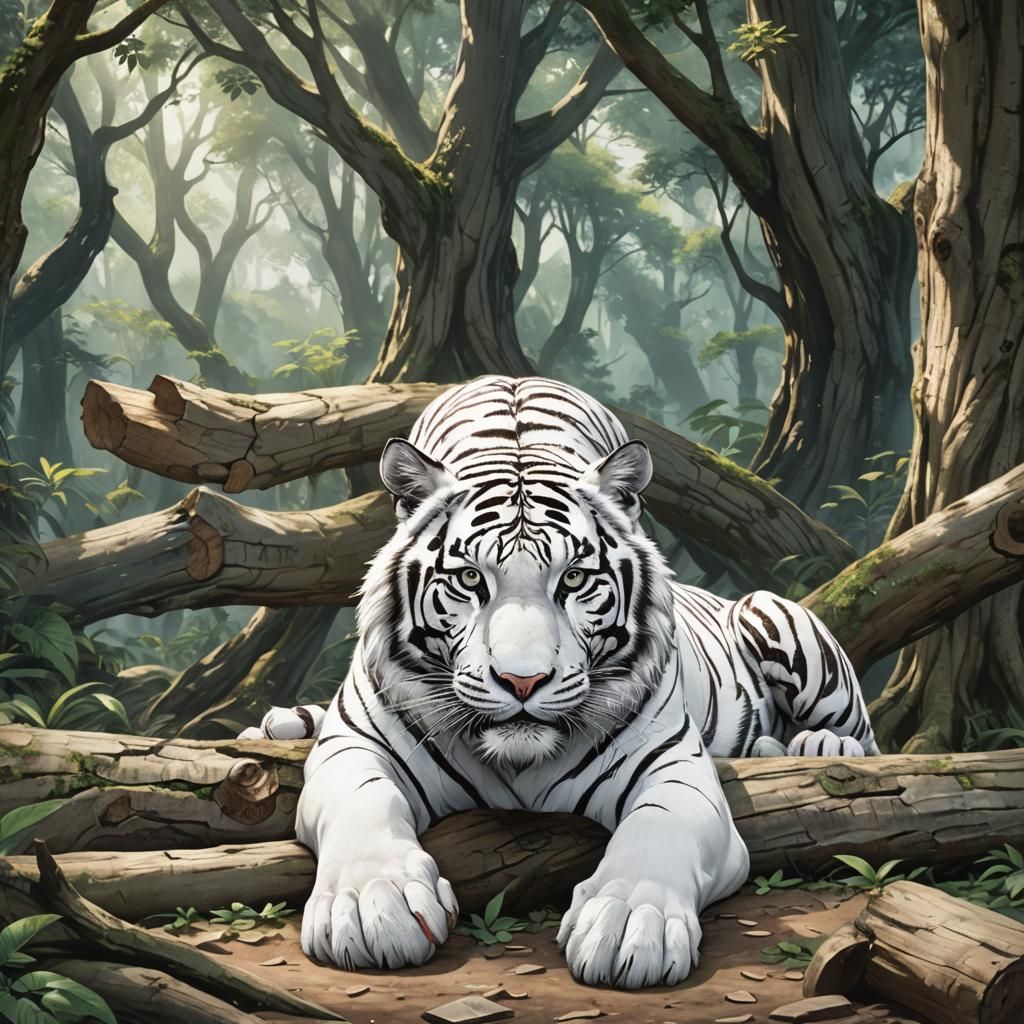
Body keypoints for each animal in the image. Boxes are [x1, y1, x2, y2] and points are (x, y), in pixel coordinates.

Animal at [247, 375, 877, 989]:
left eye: (573, 579)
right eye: (470, 579)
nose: (522, 682)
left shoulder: (672, 765)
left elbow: (660, 826)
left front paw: (630, 923)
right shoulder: (356, 746)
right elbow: (365, 801)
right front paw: (372, 905)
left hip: (773, 613)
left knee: (860, 737)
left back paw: (813, 744)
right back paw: (276, 726)